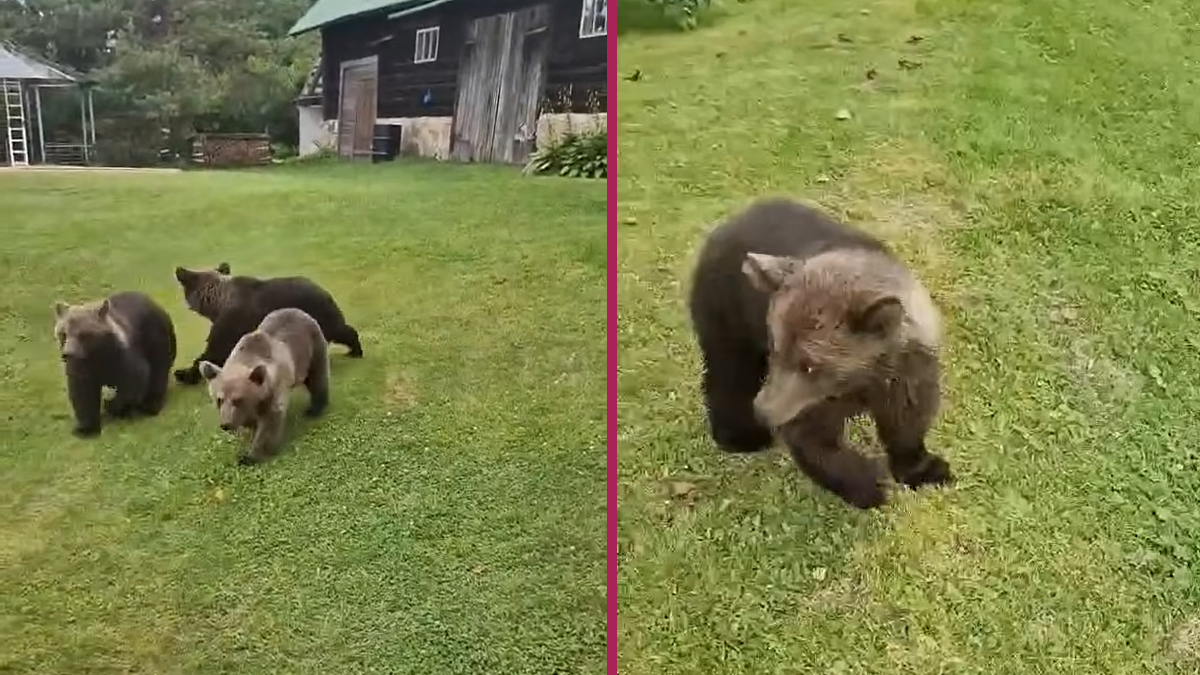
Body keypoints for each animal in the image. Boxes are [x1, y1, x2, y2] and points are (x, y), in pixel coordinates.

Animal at [52, 291, 178, 437]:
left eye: (83, 334)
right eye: (63, 333)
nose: (67, 354)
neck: (97, 355)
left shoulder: (122, 358)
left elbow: (133, 381)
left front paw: (111, 405)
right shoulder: (82, 367)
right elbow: (82, 392)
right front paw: (85, 428)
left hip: (155, 337)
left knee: (159, 370)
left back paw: (151, 405)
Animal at [173, 262, 363, 385]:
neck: (219, 302)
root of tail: (323, 290)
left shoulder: (232, 323)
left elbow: (213, 352)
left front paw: (183, 373)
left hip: (317, 314)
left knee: (340, 330)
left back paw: (355, 350)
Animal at [198, 307, 331, 466]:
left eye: (238, 400)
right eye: (219, 399)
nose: (226, 424)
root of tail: (296, 310)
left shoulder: (273, 390)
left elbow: (269, 422)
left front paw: (249, 456)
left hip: (311, 349)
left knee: (317, 377)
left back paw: (315, 408)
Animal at [686, 197, 953, 509]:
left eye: (810, 364)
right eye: (777, 347)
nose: (764, 410)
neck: (862, 379)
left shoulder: (905, 372)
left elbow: (909, 420)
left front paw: (927, 470)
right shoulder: (811, 399)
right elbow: (813, 438)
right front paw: (869, 484)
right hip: (728, 310)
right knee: (730, 371)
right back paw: (741, 435)